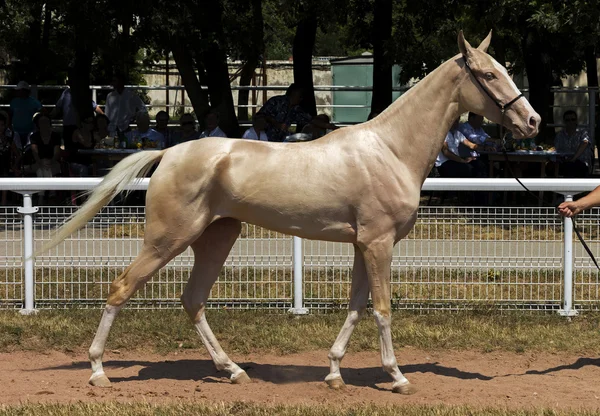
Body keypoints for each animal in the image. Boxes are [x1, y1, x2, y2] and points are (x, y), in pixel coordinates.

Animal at [39, 31, 540, 394]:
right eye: (489, 74)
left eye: (503, 70)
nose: (532, 122)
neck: (390, 150)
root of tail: (170, 153)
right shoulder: (378, 244)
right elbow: (381, 309)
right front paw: (397, 377)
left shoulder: (363, 245)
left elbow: (356, 306)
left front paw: (334, 372)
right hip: (168, 239)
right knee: (121, 288)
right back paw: (98, 372)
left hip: (217, 238)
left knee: (193, 299)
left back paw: (233, 370)